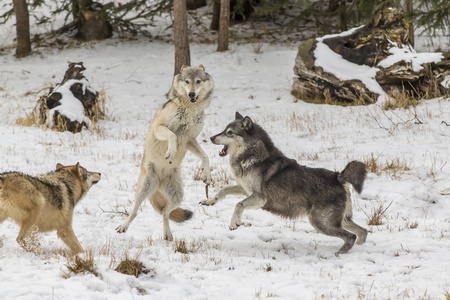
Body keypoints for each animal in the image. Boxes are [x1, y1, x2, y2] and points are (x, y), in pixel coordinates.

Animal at [116, 64, 214, 240]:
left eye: (198, 81)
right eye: (187, 81)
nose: (191, 94)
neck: (190, 109)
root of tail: (159, 184)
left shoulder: (190, 139)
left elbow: (205, 156)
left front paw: (207, 175)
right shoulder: (159, 128)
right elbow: (173, 135)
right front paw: (170, 153)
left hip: (178, 197)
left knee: (164, 212)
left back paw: (168, 235)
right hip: (144, 189)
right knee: (135, 211)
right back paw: (123, 227)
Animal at [202, 112, 368, 255]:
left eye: (230, 133)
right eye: (224, 130)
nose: (210, 137)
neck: (253, 157)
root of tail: (338, 177)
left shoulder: (260, 198)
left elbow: (238, 205)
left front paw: (234, 223)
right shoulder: (245, 189)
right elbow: (223, 190)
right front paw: (209, 201)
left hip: (321, 224)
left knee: (351, 236)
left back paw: (338, 254)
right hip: (339, 221)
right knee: (363, 232)